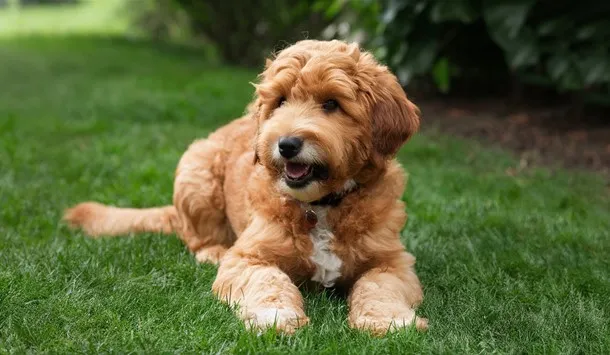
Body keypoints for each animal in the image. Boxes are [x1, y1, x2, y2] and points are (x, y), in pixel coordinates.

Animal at [61, 39, 426, 336]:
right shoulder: (248, 256)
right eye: (280, 101)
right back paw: (212, 251)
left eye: (332, 104)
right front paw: (275, 316)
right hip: (197, 172)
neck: (320, 206)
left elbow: (379, 286)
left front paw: (388, 321)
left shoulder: (393, 260)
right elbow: (268, 280)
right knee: (195, 237)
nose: (286, 144)